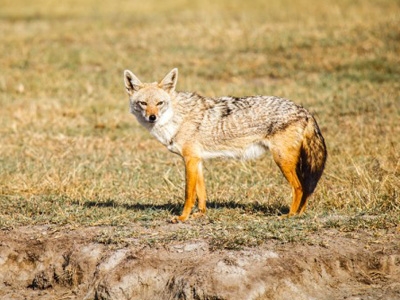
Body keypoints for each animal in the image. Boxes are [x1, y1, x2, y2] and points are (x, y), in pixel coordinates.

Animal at [123, 68, 326, 223]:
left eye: (159, 103)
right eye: (143, 103)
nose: (152, 117)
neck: (177, 118)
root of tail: (304, 110)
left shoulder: (189, 160)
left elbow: (189, 194)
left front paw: (182, 217)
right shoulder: (197, 161)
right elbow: (201, 193)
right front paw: (200, 214)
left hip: (282, 161)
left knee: (300, 187)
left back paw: (290, 215)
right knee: (305, 190)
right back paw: (299, 214)